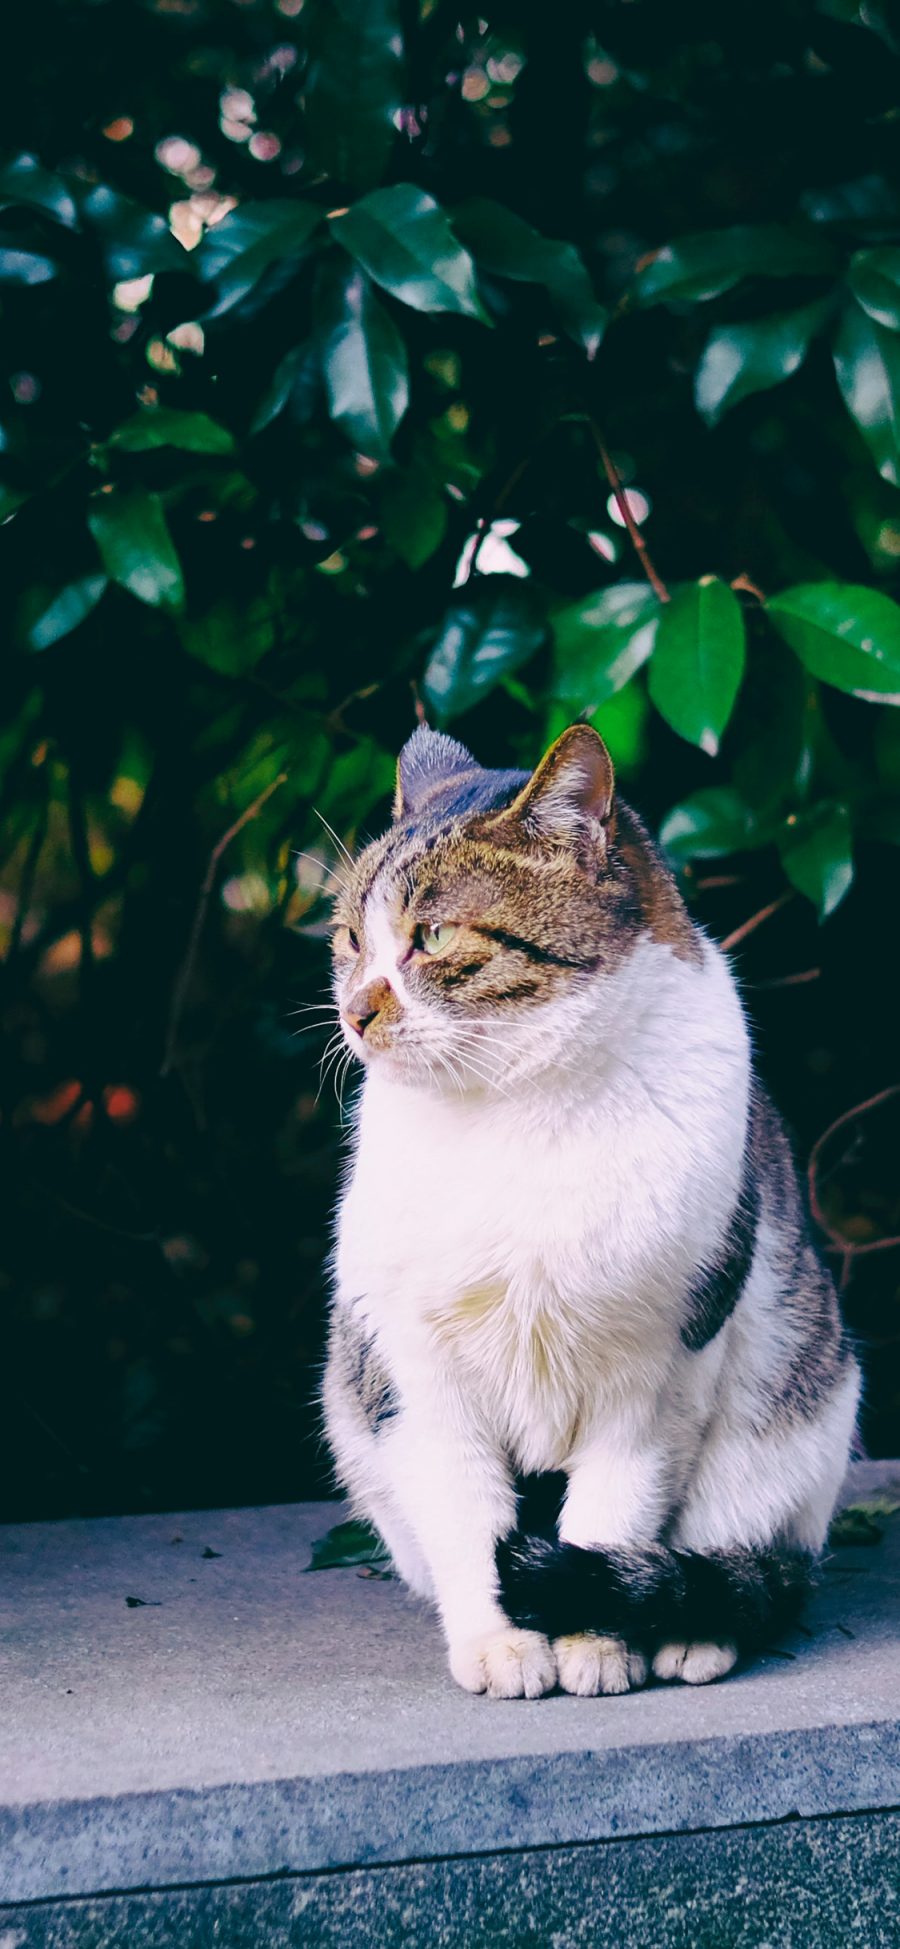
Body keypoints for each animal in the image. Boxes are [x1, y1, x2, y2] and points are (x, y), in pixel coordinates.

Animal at [321, 725, 857, 1699]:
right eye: (348, 938)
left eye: (433, 935)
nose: (353, 1010)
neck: (519, 1105)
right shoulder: (416, 1365)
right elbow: (466, 1510)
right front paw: (502, 1642)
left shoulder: (660, 1364)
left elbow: (613, 1511)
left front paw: (596, 1641)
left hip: (792, 1392)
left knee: (735, 1547)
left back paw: (692, 1631)